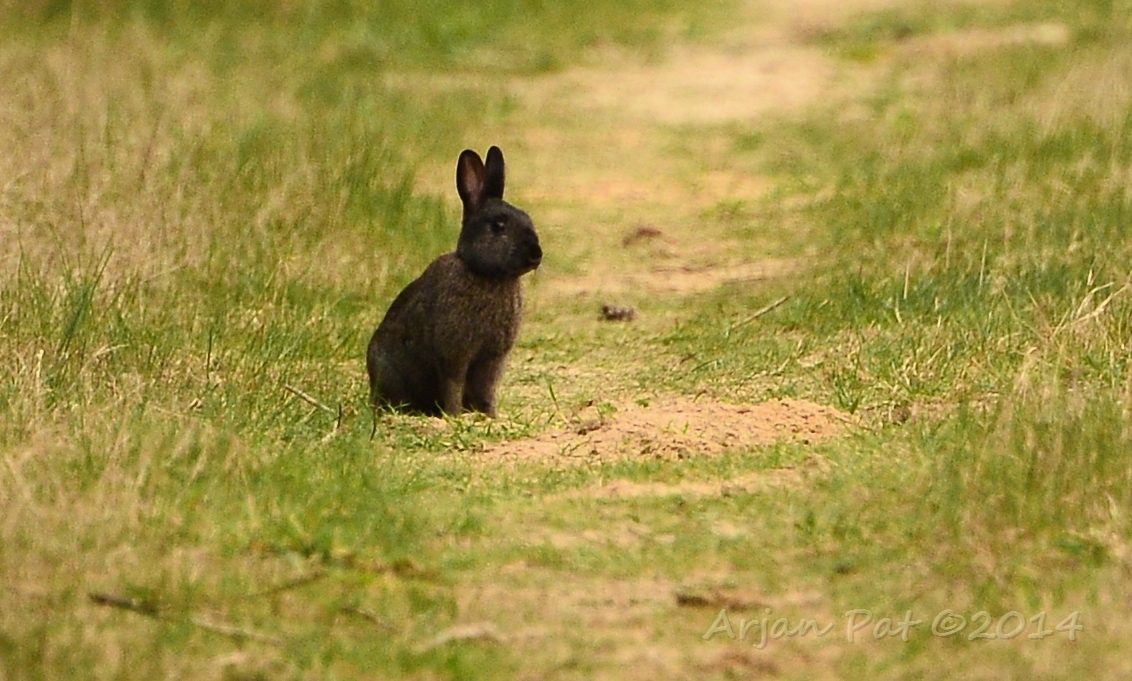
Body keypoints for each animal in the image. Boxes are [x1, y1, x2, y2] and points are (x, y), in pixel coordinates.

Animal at [366, 146, 542, 417]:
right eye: (498, 226)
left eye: (528, 218)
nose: (536, 254)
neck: (486, 275)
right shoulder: (453, 355)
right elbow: (453, 384)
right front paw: (454, 415)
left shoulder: (492, 359)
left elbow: (486, 388)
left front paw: (490, 416)